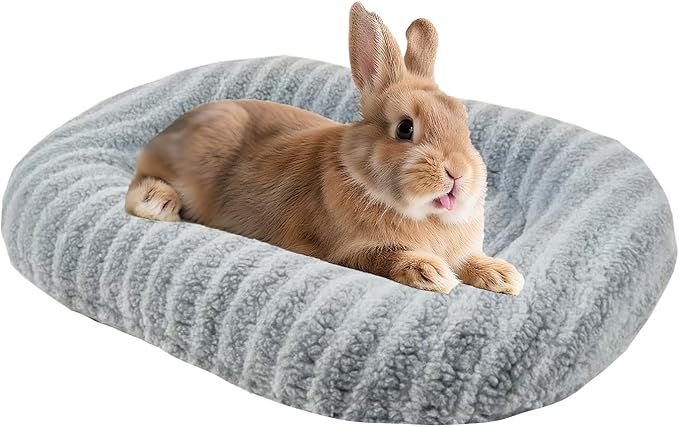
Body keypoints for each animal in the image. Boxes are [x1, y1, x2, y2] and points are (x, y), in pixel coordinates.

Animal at [125, 2, 524, 295]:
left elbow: (470, 260)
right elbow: (384, 256)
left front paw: (505, 276)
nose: (458, 173)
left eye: (464, 122)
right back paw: (158, 202)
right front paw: (431, 272)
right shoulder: (344, 250)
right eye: (405, 128)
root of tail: (169, 128)